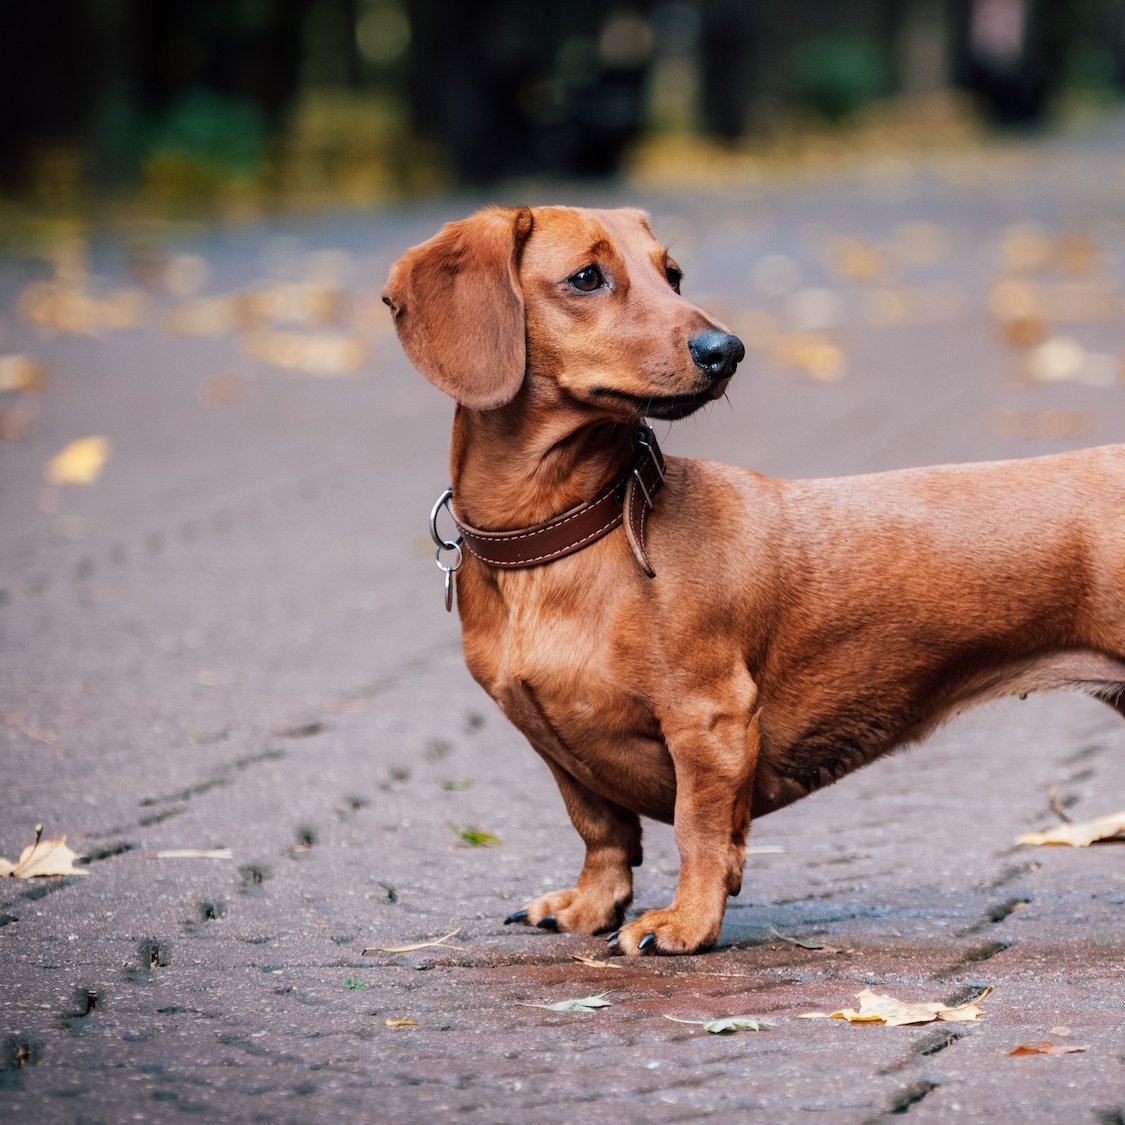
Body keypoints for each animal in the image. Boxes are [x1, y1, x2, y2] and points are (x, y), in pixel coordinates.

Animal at [380, 207, 1125, 954]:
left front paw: (685, 923)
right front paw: (591, 904)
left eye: (671, 273)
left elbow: (699, 832)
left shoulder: (711, 719)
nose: (726, 349)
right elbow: (601, 829)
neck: (583, 528)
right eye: (587, 277)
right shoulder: (559, 749)